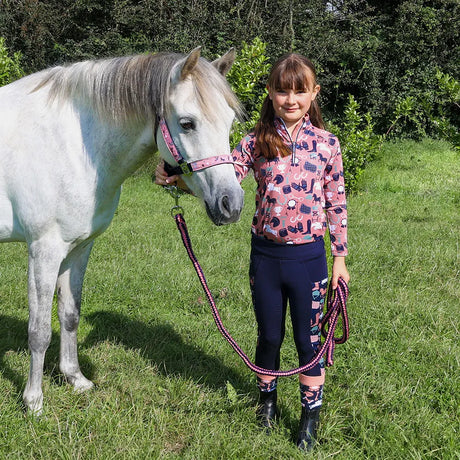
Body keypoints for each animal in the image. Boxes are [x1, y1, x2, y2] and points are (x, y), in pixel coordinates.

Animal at [0, 48, 244, 416]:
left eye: (230, 122)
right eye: (187, 123)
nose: (231, 204)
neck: (74, 147)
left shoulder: (79, 248)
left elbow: (70, 314)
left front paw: (75, 379)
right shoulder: (43, 250)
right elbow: (39, 331)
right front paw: (34, 402)